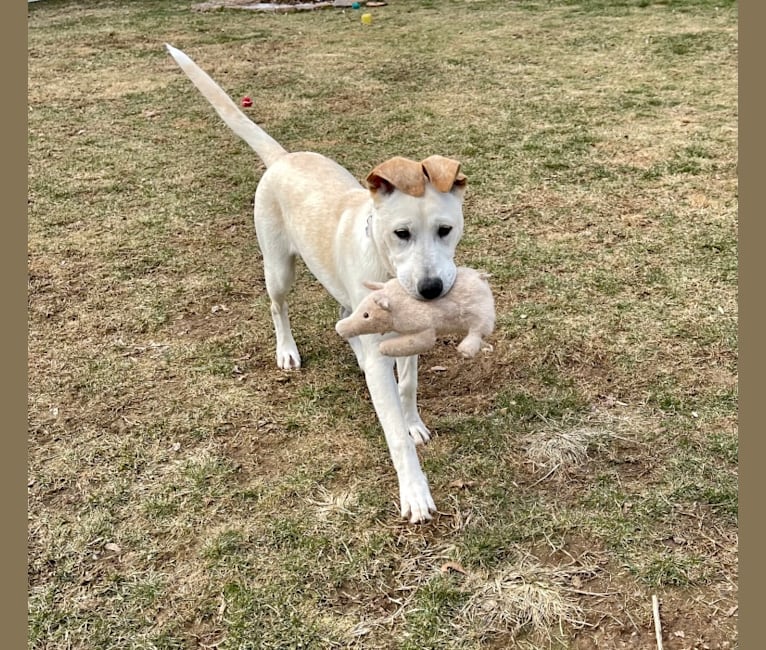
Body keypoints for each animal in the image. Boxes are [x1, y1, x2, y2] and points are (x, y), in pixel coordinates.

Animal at [167, 44, 468, 520]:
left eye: (445, 230)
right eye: (401, 233)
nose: (431, 289)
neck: (386, 269)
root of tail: (282, 159)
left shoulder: (411, 335)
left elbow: (407, 385)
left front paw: (414, 422)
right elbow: (393, 431)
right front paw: (415, 491)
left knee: (344, 316)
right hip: (279, 270)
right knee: (279, 307)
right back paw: (287, 351)